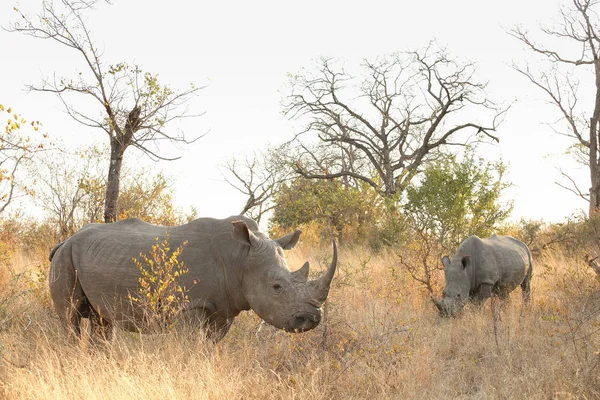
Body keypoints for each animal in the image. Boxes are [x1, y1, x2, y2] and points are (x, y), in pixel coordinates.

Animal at [48, 216, 336, 340]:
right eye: (276, 287)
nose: (311, 320)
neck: (241, 258)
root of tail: (65, 240)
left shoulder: (224, 308)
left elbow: (210, 346)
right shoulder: (190, 305)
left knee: (101, 321)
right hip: (65, 257)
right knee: (70, 316)